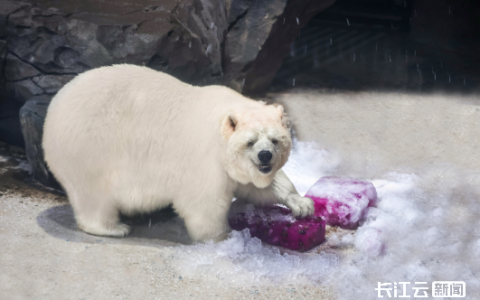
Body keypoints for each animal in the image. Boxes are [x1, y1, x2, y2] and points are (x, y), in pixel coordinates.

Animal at [43, 64, 316, 243]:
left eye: (275, 140)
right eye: (250, 142)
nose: (265, 156)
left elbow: (257, 186)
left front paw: (302, 204)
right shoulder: (204, 159)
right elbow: (204, 204)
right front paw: (224, 237)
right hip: (90, 148)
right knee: (94, 195)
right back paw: (115, 228)